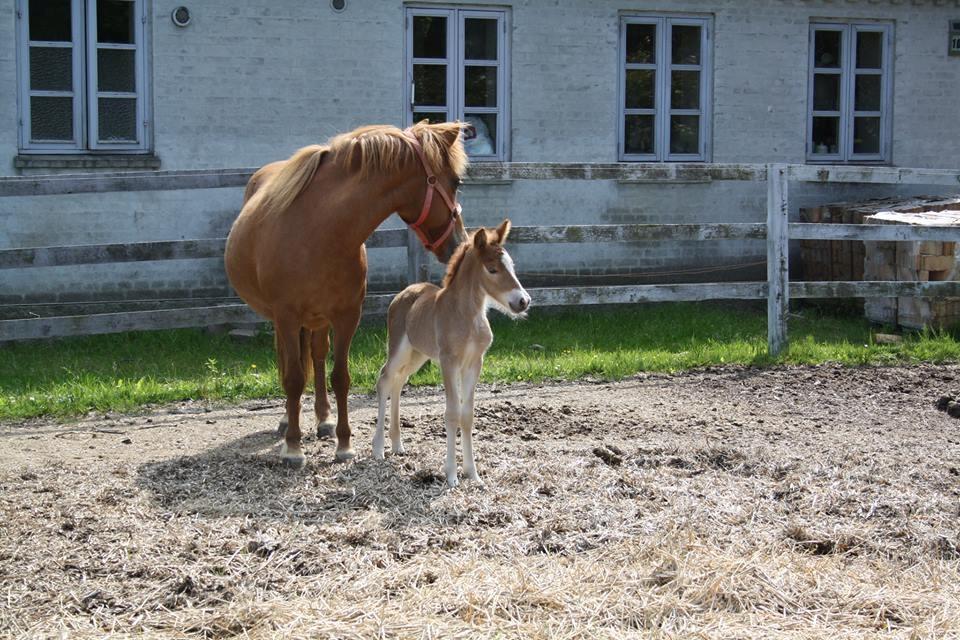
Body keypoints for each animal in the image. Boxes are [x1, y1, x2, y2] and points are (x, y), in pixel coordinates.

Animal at [374, 220, 528, 484]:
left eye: (512, 266)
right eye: (492, 269)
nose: (523, 301)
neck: (468, 316)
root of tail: (403, 293)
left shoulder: (474, 363)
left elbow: (467, 415)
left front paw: (472, 474)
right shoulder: (449, 362)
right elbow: (452, 413)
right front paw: (452, 475)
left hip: (417, 354)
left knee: (399, 382)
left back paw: (397, 444)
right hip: (399, 348)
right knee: (385, 379)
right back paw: (378, 449)